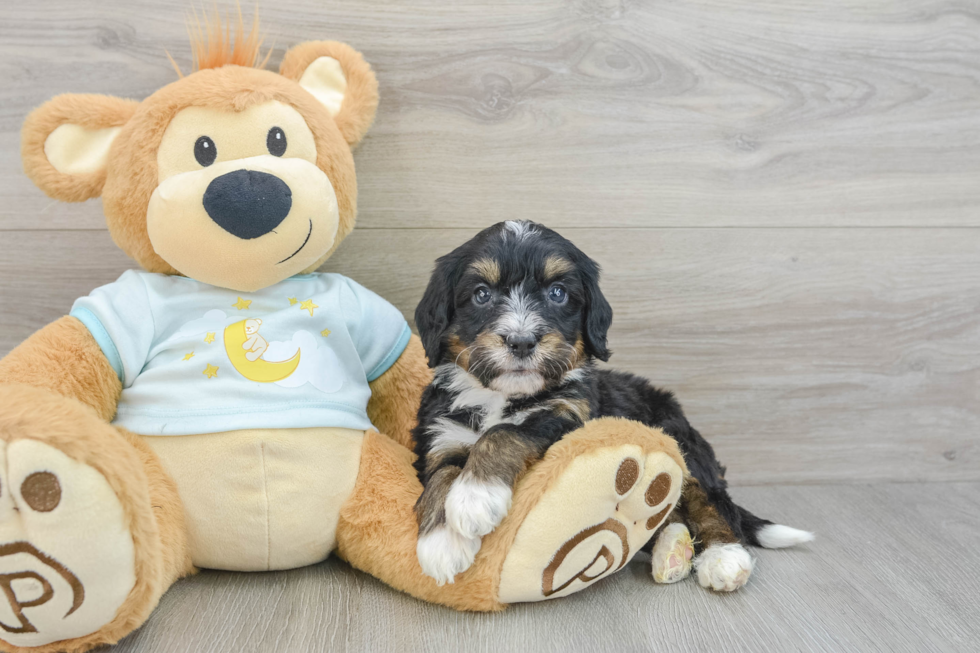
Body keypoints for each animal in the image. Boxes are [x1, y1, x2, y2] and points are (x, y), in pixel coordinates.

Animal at [412, 222, 812, 588]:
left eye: (557, 293)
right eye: (481, 294)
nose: (521, 341)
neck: (502, 395)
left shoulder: (567, 416)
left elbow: (505, 433)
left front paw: (474, 498)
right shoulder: (443, 434)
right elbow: (441, 474)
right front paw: (441, 542)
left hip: (680, 440)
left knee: (709, 501)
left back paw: (723, 556)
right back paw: (671, 549)